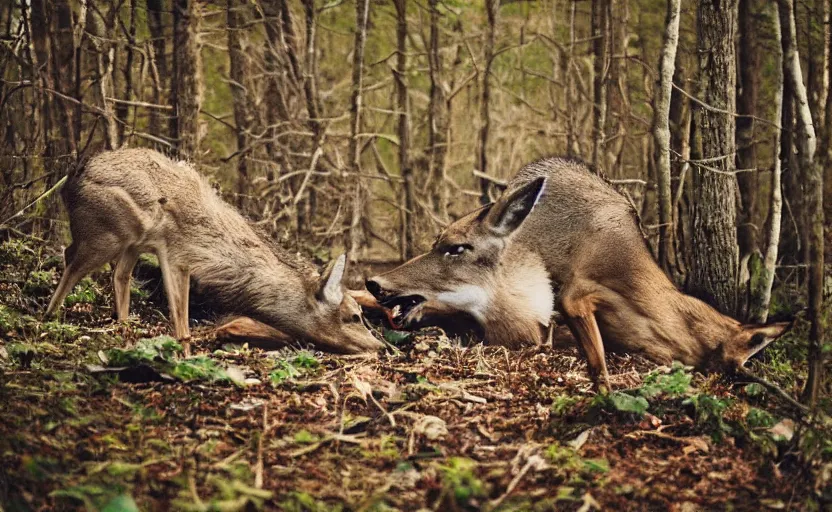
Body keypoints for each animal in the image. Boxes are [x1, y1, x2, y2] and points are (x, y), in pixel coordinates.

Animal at [45, 148, 384, 356]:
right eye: (353, 317)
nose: (380, 347)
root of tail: (67, 186)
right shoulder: (176, 254)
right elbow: (182, 322)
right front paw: (185, 355)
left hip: (129, 243)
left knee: (119, 275)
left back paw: (124, 328)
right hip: (106, 235)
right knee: (70, 260)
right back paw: (50, 320)